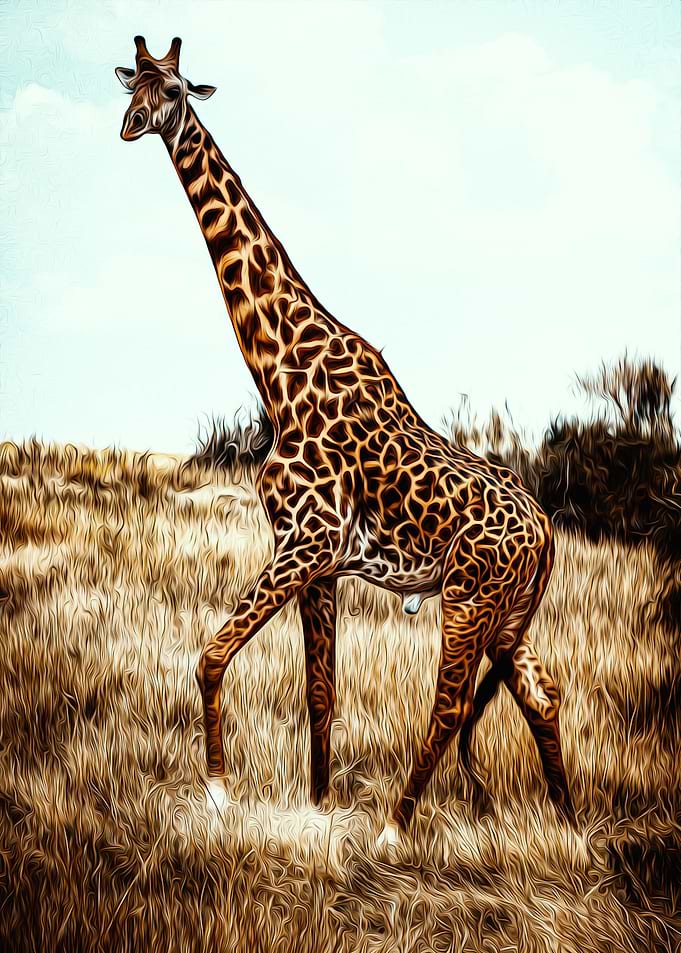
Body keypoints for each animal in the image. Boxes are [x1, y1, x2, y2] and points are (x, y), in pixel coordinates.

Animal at [116, 36, 575, 840]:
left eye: (172, 88)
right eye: (130, 82)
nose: (130, 123)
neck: (278, 369)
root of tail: (548, 531)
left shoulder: (306, 542)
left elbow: (210, 656)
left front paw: (219, 793)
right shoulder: (319, 562)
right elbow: (319, 692)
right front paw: (318, 806)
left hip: (467, 596)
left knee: (452, 704)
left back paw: (396, 826)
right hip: (508, 614)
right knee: (540, 694)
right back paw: (569, 826)